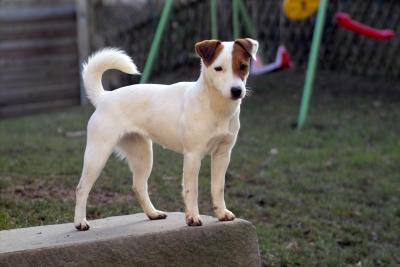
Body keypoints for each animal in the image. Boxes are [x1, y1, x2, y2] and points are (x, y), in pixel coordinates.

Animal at [73, 37, 258, 230]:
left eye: (243, 66)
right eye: (218, 68)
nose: (237, 91)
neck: (215, 107)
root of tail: (105, 97)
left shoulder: (223, 154)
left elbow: (218, 187)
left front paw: (222, 213)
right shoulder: (193, 155)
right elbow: (192, 190)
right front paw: (192, 217)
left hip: (143, 156)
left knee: (138, 186)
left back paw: (153, 213)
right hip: (97, 155)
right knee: (82, 188)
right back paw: (80, 222)